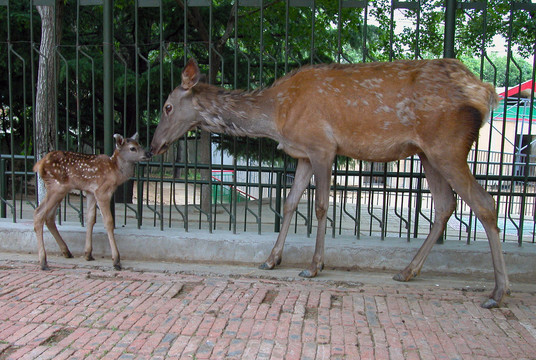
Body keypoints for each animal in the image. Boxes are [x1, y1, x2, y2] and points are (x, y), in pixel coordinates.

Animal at [33, 134, 151, 268]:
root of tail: (39, 164)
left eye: (139, 144)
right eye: (132, 148)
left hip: (59, 190)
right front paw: (116, 260)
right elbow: (108, 221)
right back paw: (43, 261)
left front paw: (88, 254)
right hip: (56, 187)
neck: (115, 171)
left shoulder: (90, 192)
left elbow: (90, 218)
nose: (148, 153)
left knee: (49, 217)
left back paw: (66, 252)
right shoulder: (102, 192)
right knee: (39, 213)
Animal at [152, 57, 510, 308]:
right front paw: (270, 259)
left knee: (484, 203)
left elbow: (322, 206)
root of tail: (485, 92)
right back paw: (408, 270)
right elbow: (290, 202)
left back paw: (497, 292)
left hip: (447, 146)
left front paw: (314, 266)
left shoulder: (322, 147)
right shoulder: (303, 155)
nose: (154, 146)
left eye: (167, 106)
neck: (277, 115)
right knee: (446, 204)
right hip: (426, 153)